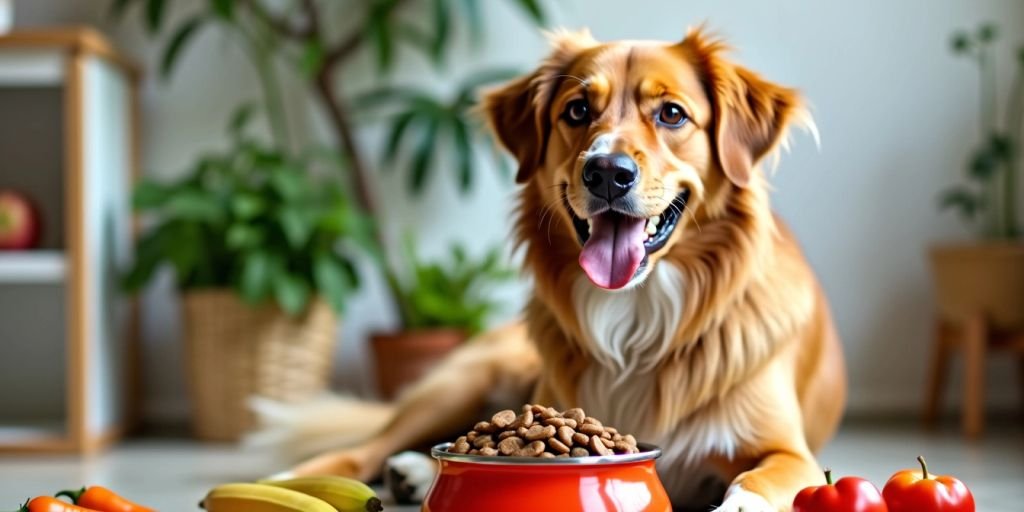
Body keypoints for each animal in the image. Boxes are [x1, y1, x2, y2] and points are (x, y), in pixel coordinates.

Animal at [276, 28, 843, 512]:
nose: (607, 172)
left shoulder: (790, 454)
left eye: (672, 114)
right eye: (577, 110)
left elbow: (757, 481)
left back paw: (410, 471)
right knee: (370, 447)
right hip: (467, 379)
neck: (637, 312)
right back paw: (300, 479)